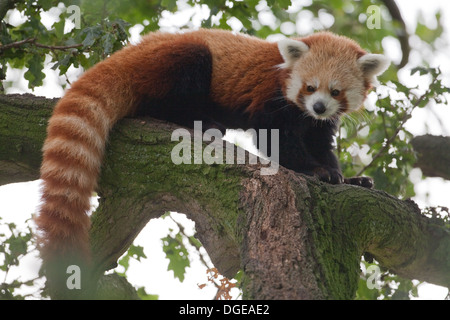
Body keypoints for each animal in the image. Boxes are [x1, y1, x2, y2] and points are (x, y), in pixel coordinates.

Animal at [35, 28, 388, 292]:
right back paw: (201, 122)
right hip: (174, 63)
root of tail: (128, 53)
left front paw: (349, 177)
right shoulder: (269, 97)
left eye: (336, 92)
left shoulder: (318, 124)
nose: (318, 106)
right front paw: (315, 171)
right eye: (310, 87)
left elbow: (321, 144)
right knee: (182, 77)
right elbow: (277, 141)